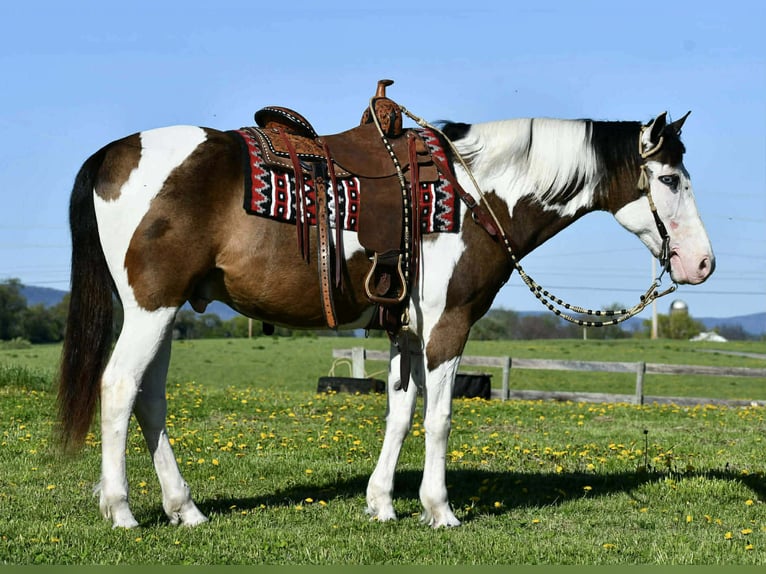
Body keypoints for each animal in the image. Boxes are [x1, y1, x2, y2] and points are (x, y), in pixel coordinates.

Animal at [57, 92, 714, 528]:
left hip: (164, 315)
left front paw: (382, 503)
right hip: (151, 310)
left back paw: (185, 508)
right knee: (119, 387)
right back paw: (121, 510)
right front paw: (440, 510)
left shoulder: (406, 333)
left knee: (149, 399)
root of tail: (113, 154)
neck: (476, 193)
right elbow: (439, 418)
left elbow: (399, 414)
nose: (701, 264)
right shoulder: (448, 325)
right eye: (670, 179)